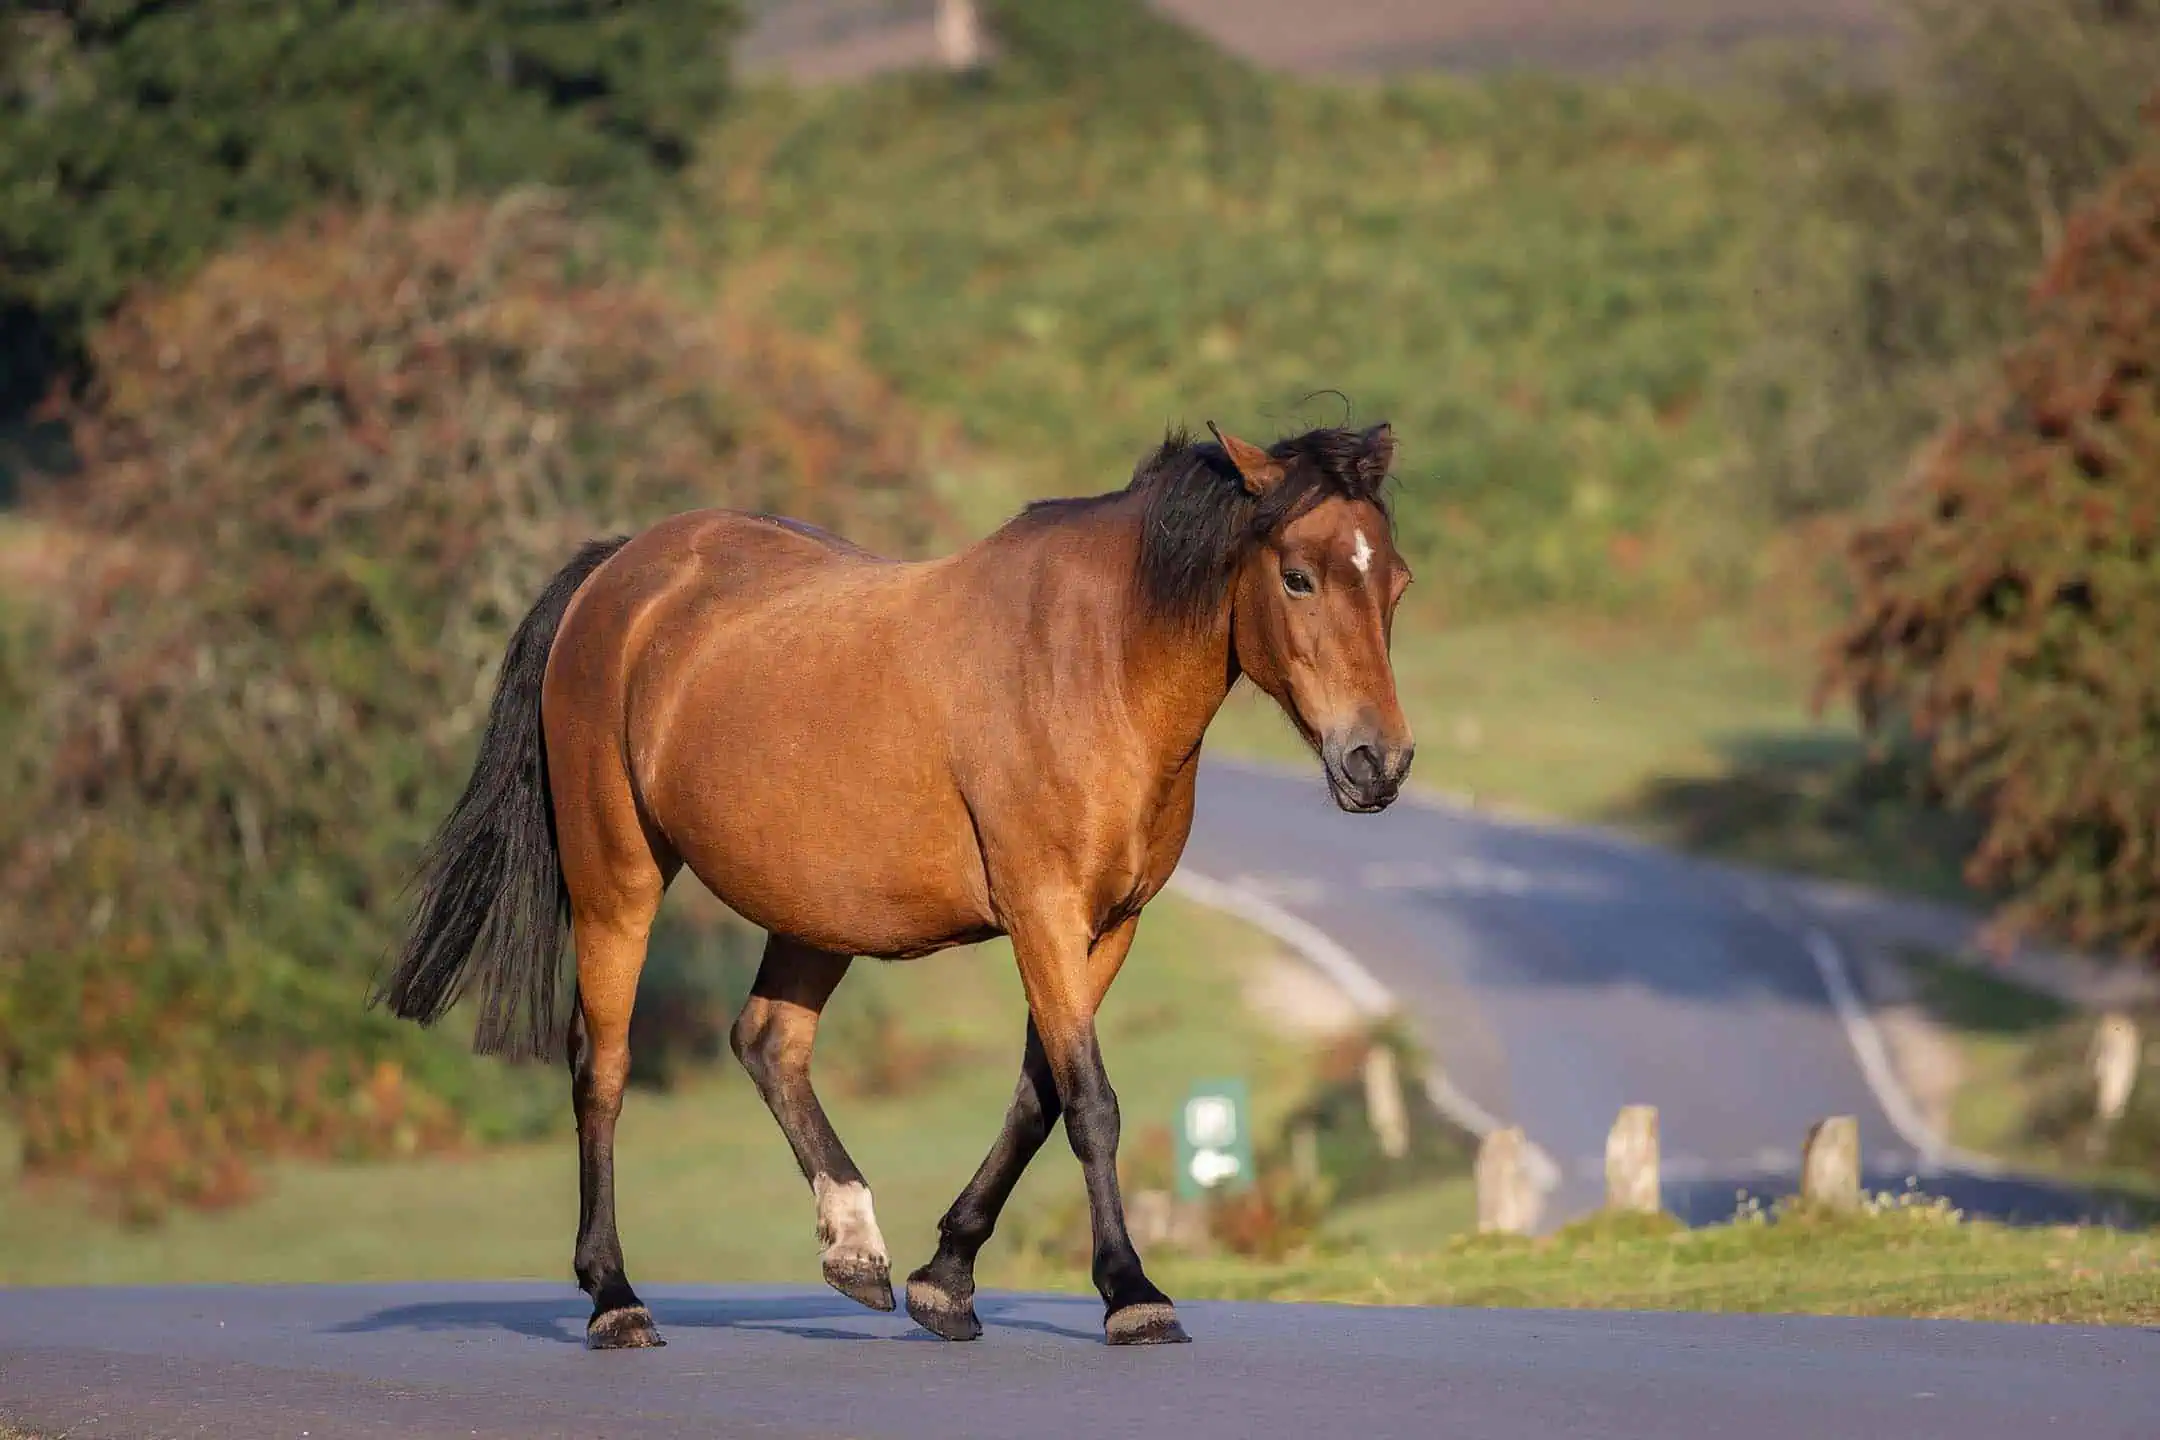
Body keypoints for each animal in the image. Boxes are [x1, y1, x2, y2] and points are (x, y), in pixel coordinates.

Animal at [371, 416, 1416, 1355]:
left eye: (1395, 582)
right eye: (1297, 575)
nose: (1379, 763)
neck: (1095, 661)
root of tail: (618, 573)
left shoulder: (1107, 927)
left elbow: (1040, 1095)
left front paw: (945, 1279)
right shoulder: (1043, 913)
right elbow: (1090, 1104)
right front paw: (1132, 1293)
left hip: (814, 910)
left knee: (769, 1043)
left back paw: (854, 1246)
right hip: (616, 880)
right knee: (604, 1069)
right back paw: (614, 1297)